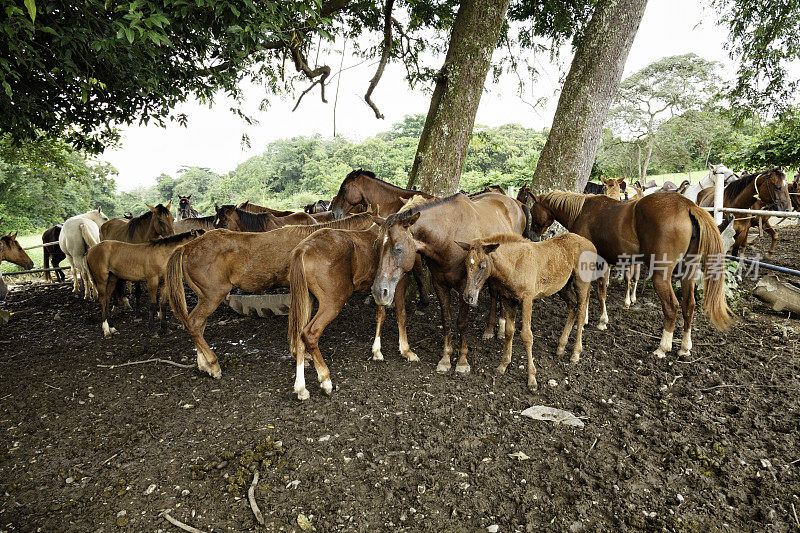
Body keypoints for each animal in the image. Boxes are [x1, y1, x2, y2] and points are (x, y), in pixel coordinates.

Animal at [166, 210, 384, 376]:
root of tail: (186, 247)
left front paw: (300, 354)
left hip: (205, 298)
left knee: (197, 325)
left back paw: (203, 364)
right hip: (212, 297)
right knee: (194, 323)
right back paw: (212, 364)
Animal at [290, 221, 410, 400]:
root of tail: (304, 249)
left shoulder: (380, 289)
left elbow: (380, 315)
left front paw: (377, 351)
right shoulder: (398, 284)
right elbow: (401, 314)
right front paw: (405, 350)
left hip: (307, 300)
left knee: (299, 335)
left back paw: (301, 388)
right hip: (333, 302)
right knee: (310, 334)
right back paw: (325, 379)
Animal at [374, 192, 532, 374]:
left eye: (398, 248)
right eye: (376, 246)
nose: (379, 291)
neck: (448, 237)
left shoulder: (465, 286)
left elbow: (462, 322)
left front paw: (462, 361)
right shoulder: (440, 284)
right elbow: (447, 320)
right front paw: (446, 358)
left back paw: (500, 326)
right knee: (494, 295)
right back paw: (490, 329)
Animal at [460, 232, 596, 386]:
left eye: (482, 266)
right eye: (466, 264)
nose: (468, 296)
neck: (514, 265)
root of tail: (591, 244)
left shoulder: (527, 300)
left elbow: (527, 336)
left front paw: (532, 378)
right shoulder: (508, 300)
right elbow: (509, 332)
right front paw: (503, 365)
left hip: (582, 284)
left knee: (581, 312)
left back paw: (575, 353)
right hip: (564, 286)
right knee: (573, 306)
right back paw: (561, 347)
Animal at [520, 189, 736, 360]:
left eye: (533, 210)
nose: (532, 236)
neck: (583, 211)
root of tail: (688, 205)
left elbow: (595, 292)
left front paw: (597, 319)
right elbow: (599, 291)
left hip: (661, 275)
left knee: (671, 307)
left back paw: (663, 347)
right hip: (687, 273)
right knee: (688, 305)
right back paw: (684, 347)